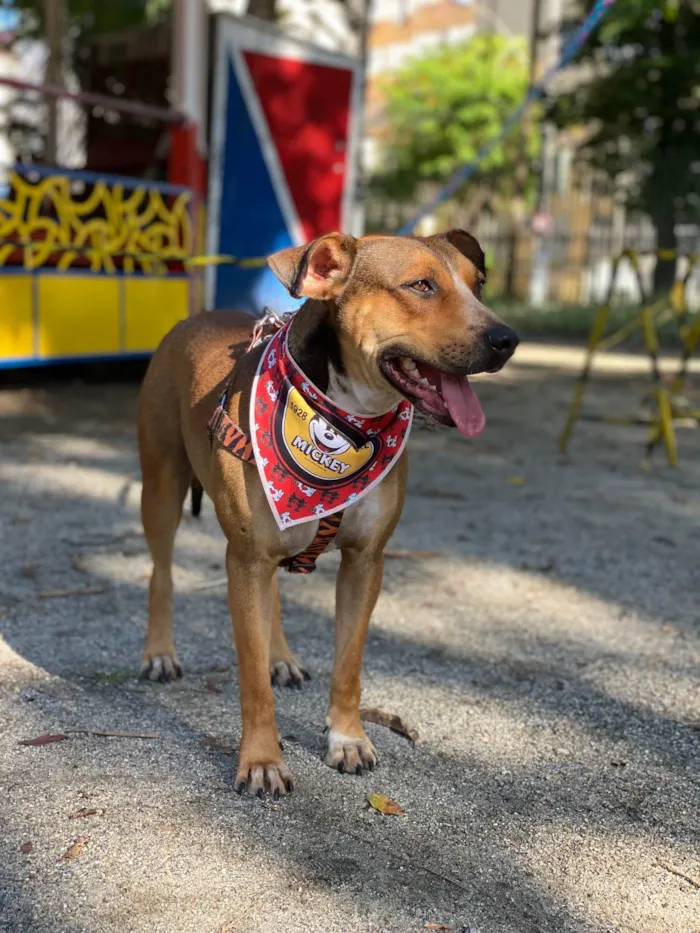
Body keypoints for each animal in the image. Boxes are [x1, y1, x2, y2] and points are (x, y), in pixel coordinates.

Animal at [138, 229, 520, 796]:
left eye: (478, 285)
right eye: (421, 286)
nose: (506, 339)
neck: (347, 418)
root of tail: (194, 318)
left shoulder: (365, 561)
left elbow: (348, 665)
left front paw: (347, 739)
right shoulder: (245, 559)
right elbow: (251, 681)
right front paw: (262, 760)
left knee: (270, 601)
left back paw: (281, 659)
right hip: (162, 489)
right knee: (161, 573)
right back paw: (160, 653)